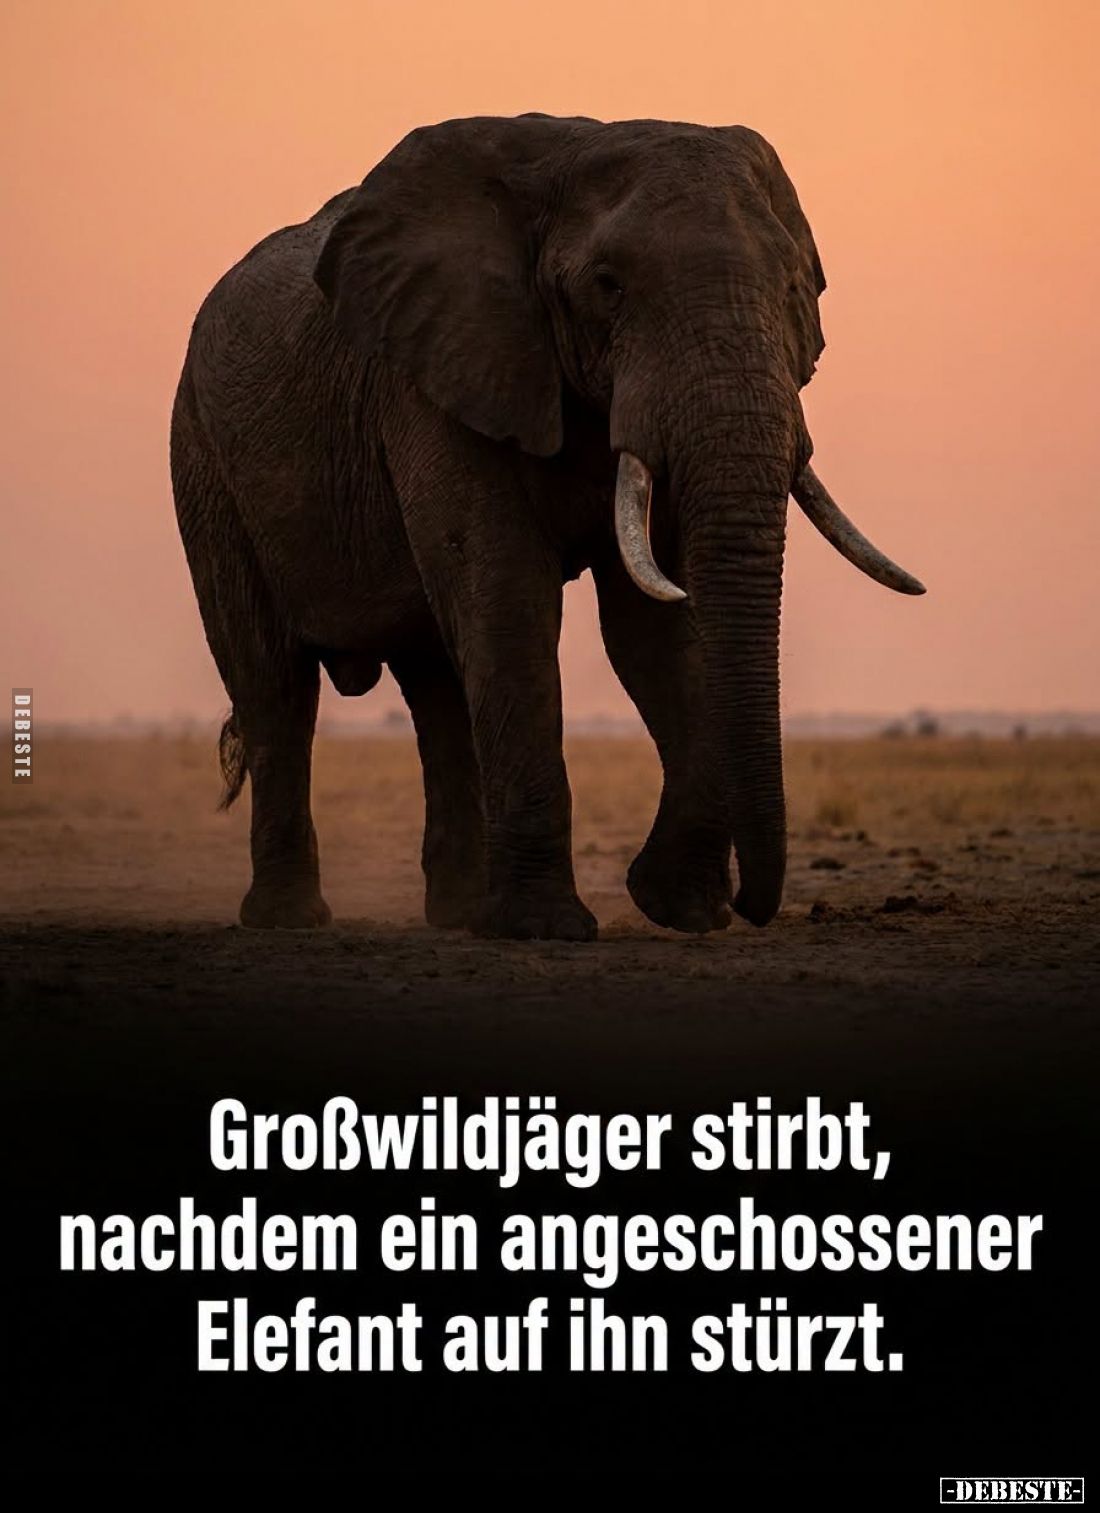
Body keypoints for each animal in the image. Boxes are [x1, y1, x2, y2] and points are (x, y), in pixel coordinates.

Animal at [170, 113, 923, 941]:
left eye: (798, 289)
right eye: (608, 286)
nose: (753, 909)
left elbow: (654, 628)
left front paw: (679, 908)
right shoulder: (439, 374)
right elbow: (509, 598)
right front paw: (548, 926)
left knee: (436, 683)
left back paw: (460, 915)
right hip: (203, 460)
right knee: (274, 682)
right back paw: (291, 920)